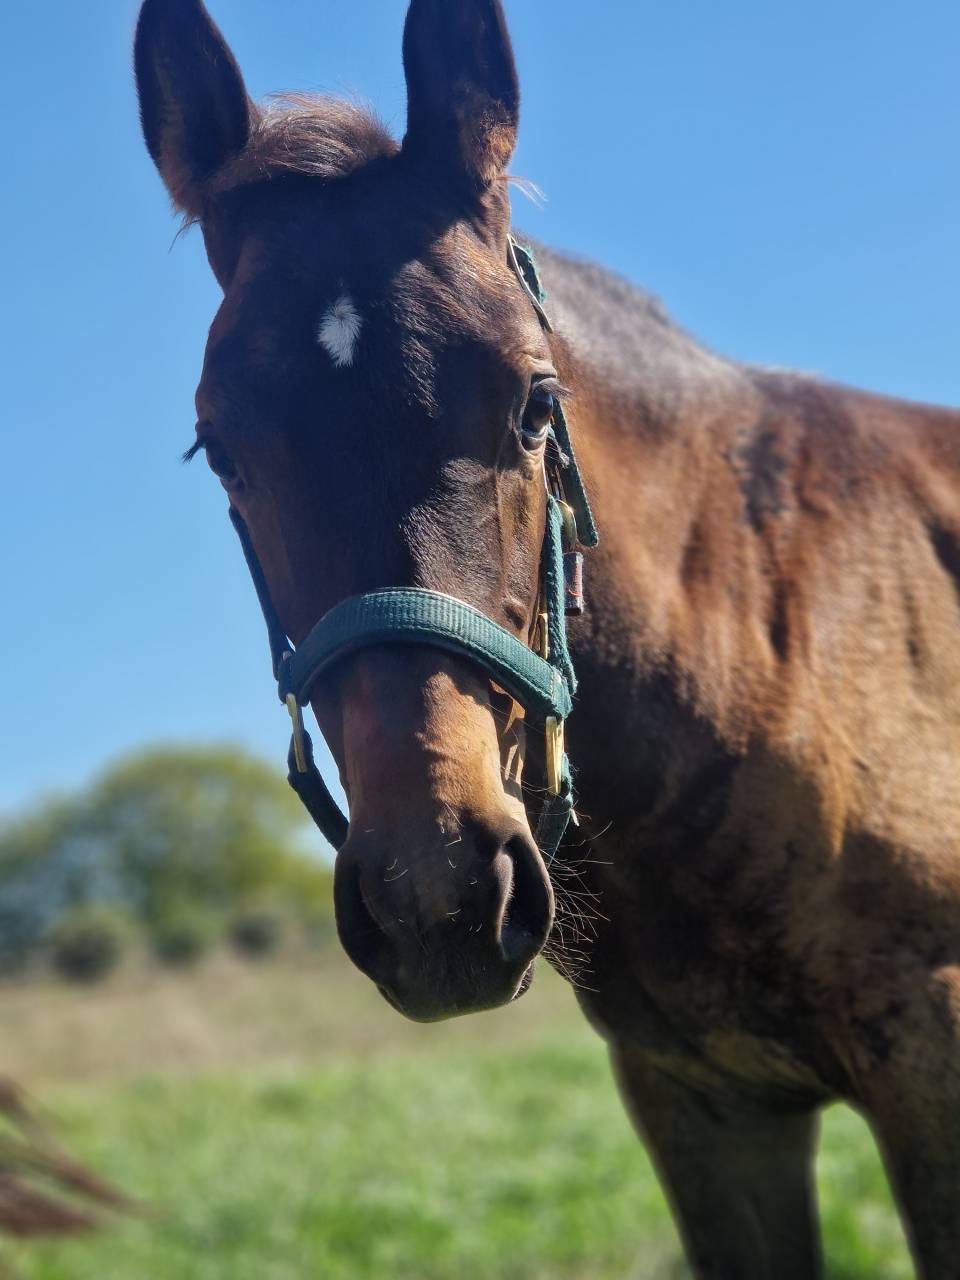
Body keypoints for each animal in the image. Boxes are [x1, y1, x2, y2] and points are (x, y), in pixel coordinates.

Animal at [134, 2, 960, 1276]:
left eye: (534, 404)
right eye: (218, 446)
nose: (436, 896)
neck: (770, 644)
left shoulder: (932, 1064)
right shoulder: (703, 1103)